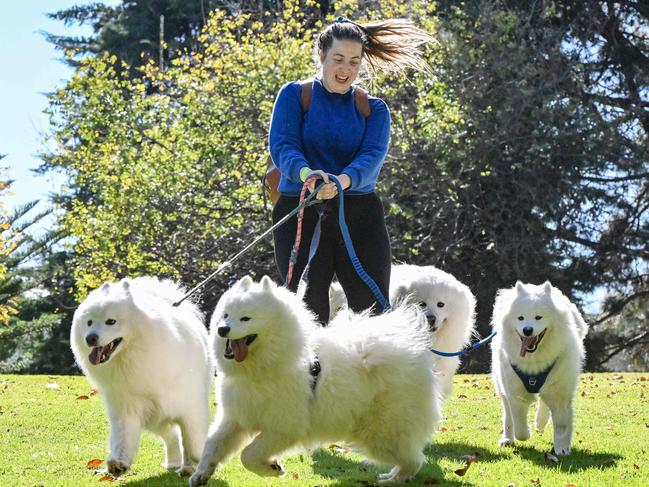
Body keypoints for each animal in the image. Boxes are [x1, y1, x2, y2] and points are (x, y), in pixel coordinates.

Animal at [71, 278, 213, 476]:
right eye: (89, 322)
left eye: (111, 321)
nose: (90, 338)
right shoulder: (127, 405)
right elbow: (123, 437)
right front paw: (118, 463)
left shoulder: (190, 406)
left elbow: (192, 440)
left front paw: (196, 459)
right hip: (154, 417)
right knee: (171, 436)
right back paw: (173, 462)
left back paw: (186, 467)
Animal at [190, 276, 438, 486]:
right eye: (225, 315)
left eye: (245, 318)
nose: (222, 329)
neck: (260, 369)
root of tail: (411, 353)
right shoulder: (235, 417)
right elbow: (212, 445)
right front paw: (200, 474)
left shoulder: (283, 427)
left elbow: (247, 455)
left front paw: (272, 468)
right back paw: (391, 475)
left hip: (380, 435)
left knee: (415, 459)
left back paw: (394, 480)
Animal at [492, 282, 588, 458]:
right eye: (520, 318)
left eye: (539, 317)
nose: (527, 330)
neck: (534, 361)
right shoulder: (515, 393)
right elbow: (519, 426)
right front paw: (525, 434)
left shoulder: (559, 393)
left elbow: (562, 425)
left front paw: (562, 449)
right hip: (501, 386)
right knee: (508, 416)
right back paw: (507, 438)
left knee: (544, 403)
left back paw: (540, 422)